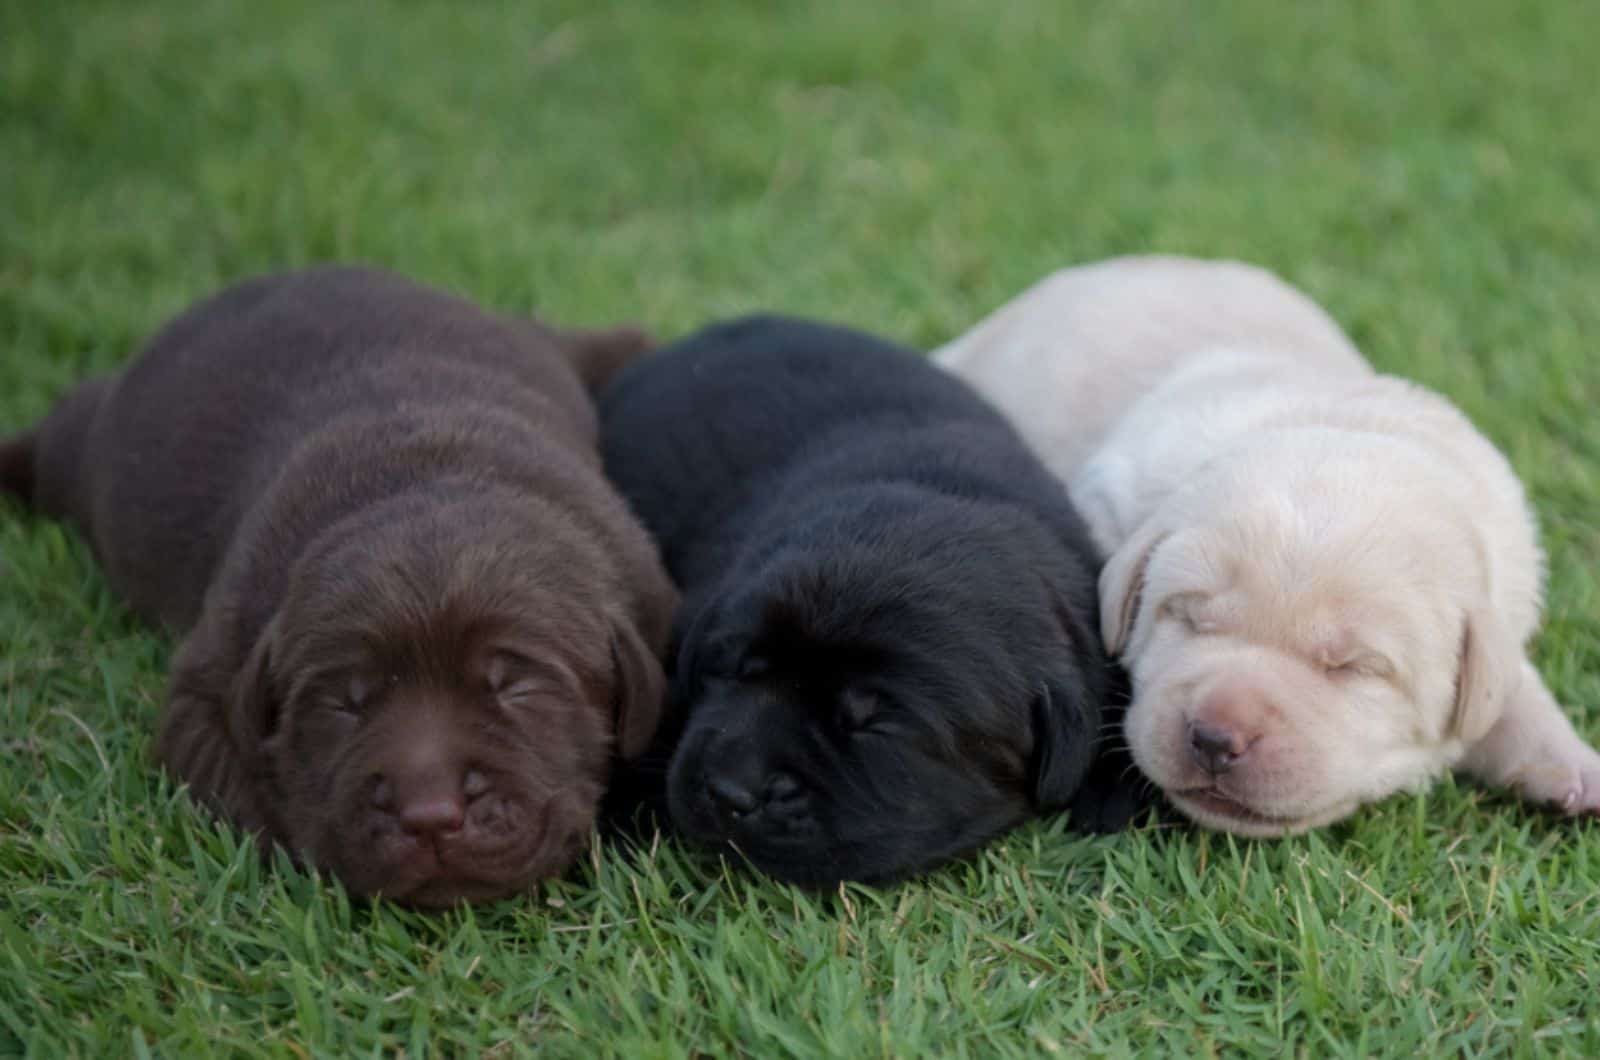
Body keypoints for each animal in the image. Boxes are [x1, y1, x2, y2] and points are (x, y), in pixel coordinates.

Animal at [0, 270, 675, 909]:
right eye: (345, 703)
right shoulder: (209, 677)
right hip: (82, 453)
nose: (429, 815)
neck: (425, 468)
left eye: (513, 686)